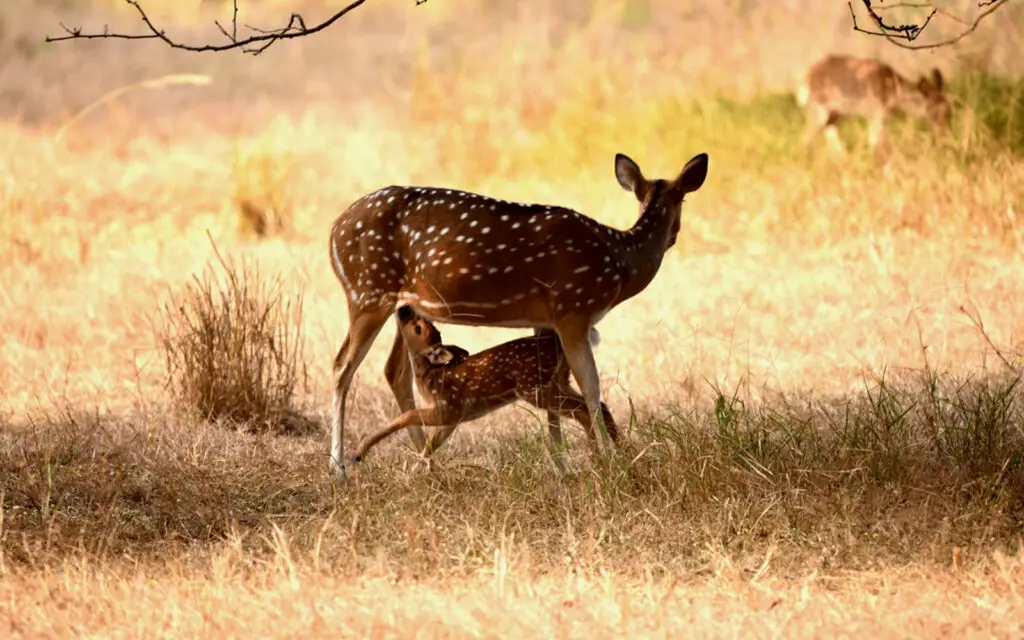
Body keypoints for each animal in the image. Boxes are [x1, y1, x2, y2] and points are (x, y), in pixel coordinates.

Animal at [349, 304, 619, 469]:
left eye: (418, 327)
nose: (404, 308)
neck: (430, 378)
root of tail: (559, 347)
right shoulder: (453, 417)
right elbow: (432, 444)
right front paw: (421, 469)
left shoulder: (449, 407)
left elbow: (407, 416)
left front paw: (359, 453)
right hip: (559, 381)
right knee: (598, 405)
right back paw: (616, 450)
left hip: (536, 388)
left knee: (585, 409)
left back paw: (600, 456)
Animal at [796, 54, 951, 154]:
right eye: (934, 108)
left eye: (948, 108)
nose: (943, 131)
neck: (894, 93)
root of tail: (807, 76)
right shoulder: (877, 114)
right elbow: (876, 144)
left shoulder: (882, 118)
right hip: (818, 109)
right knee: (805, 137)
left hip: (836, 113)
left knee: (828, 132)